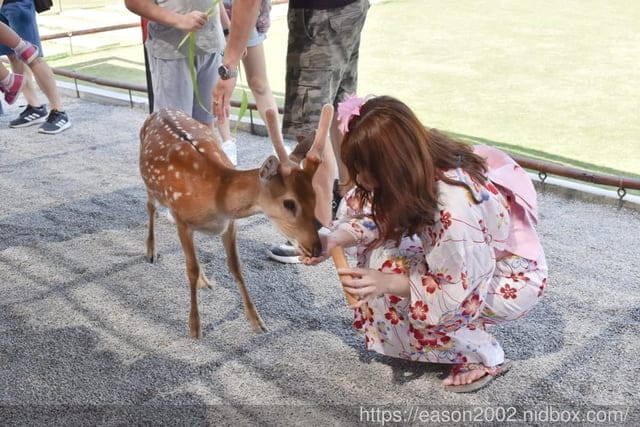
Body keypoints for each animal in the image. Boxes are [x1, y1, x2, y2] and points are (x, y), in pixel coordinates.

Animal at [139, 104, 334, 338]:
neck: (216, 197)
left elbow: (236, 267)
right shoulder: (182, 220)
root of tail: (159, 110)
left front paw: (256, 321)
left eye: (315, 197)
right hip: (151, 187)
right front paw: (195, 326)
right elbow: (191, 269)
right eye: (289, 203)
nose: (315, 248)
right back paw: (151, 251)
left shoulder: (229, 225)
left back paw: (205, 280)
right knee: (150, 207)